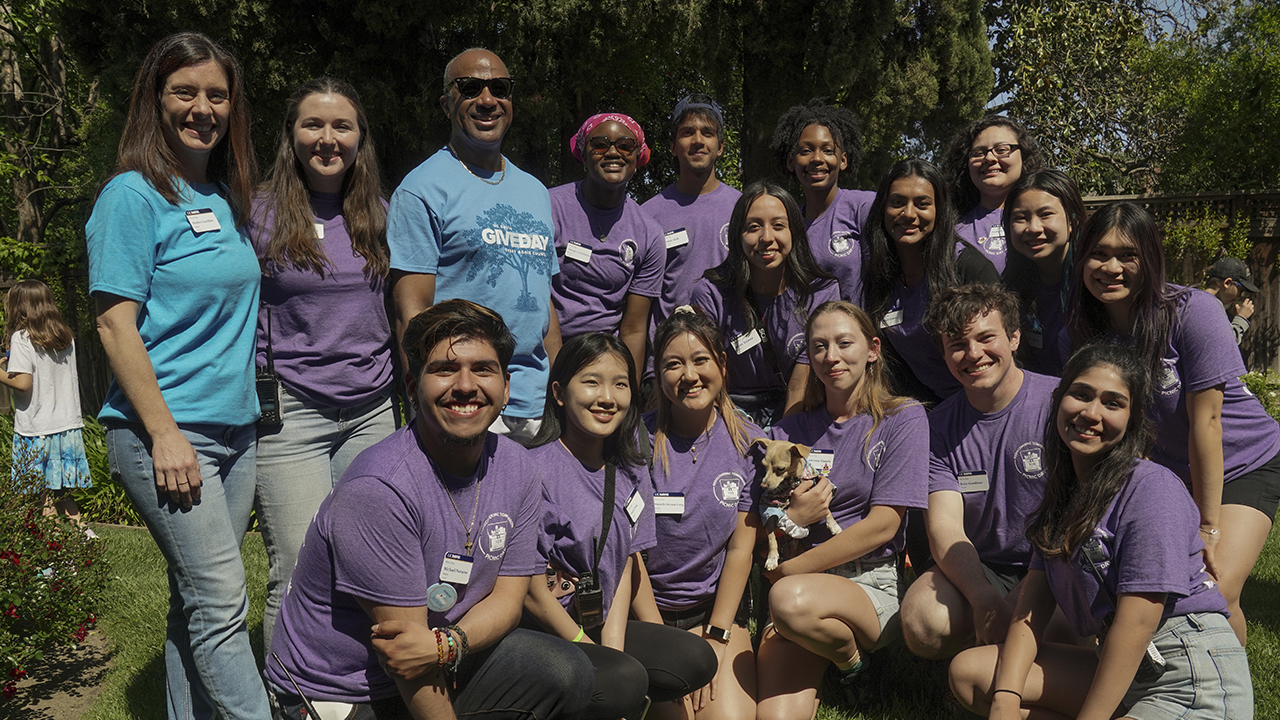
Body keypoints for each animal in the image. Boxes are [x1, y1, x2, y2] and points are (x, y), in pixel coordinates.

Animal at [747, 435, 839, 568]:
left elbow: (827, 510)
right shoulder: (769, 508)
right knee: (772, 538)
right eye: (764, 465)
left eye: (781, 468)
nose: (763, 485)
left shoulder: (816, 488)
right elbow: (771, 538)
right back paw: (772, 557)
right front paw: (772, 558)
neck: (793, 481)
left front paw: (834, 525)